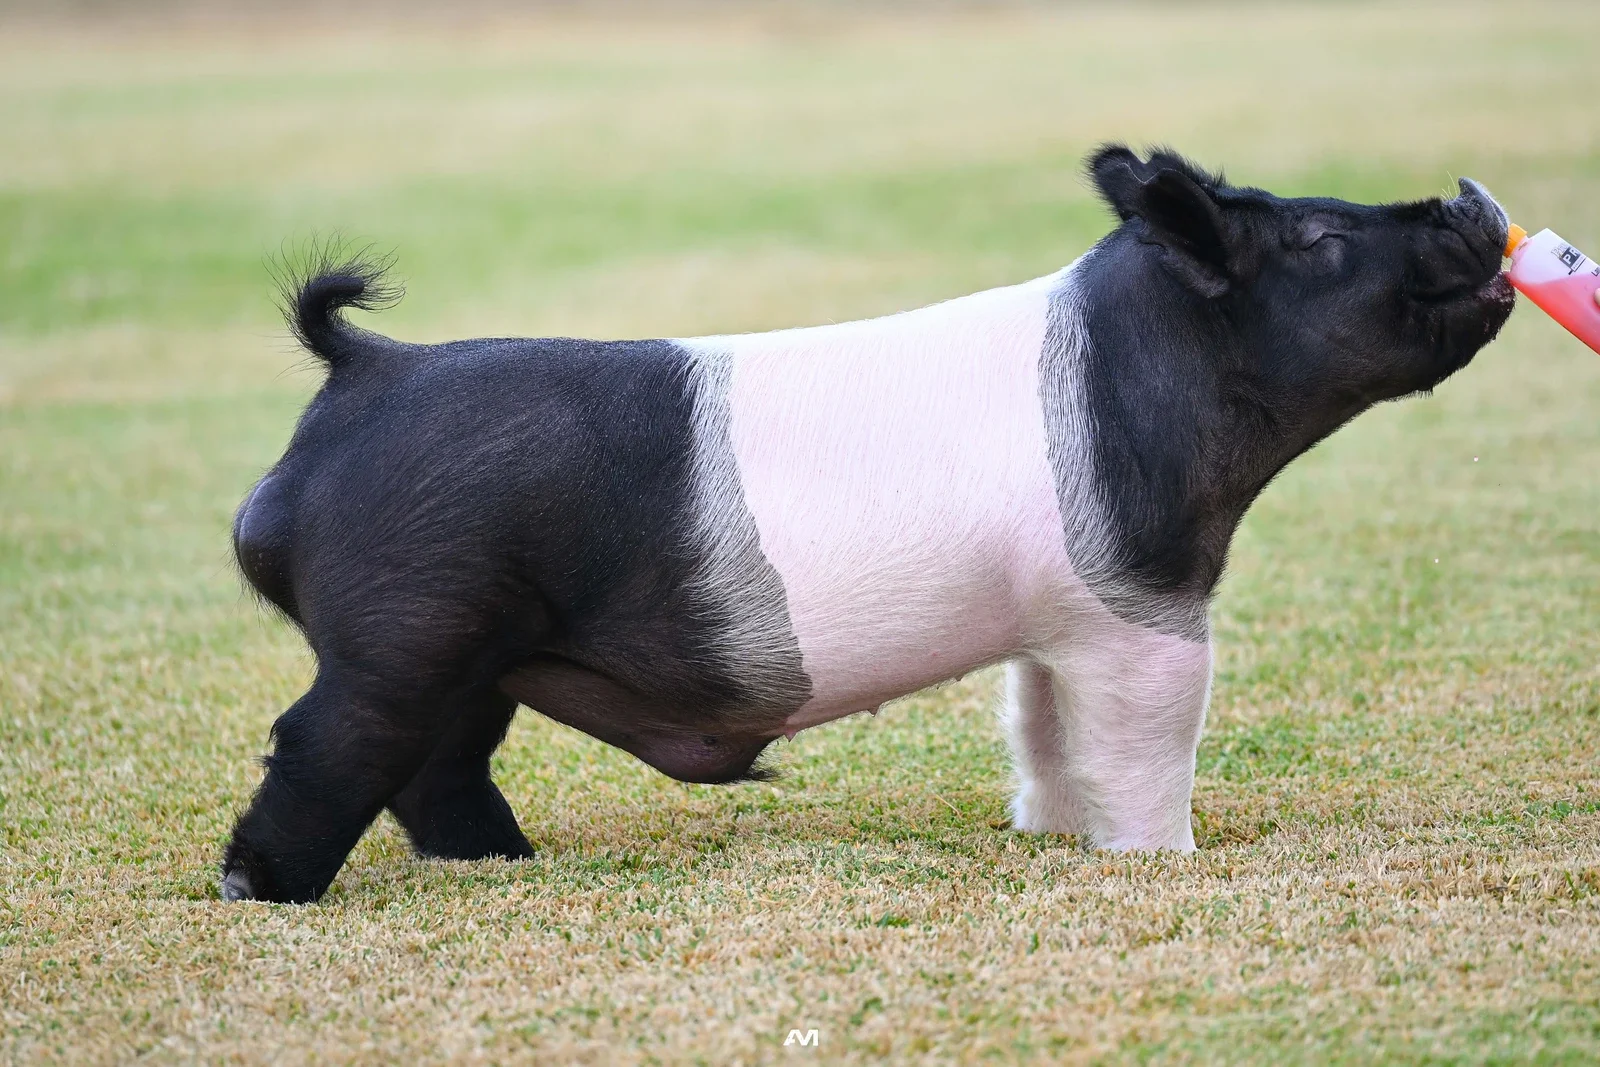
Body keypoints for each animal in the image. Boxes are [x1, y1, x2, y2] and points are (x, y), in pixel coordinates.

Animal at [221, 146, 1514, 902]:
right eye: (1317, 241)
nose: (1468, 196)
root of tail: (362, 370)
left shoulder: (1056, 622)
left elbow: (1042, 729)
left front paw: (1052, 834)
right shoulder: (1144, 605)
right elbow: (1149, 736)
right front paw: (1161, 859)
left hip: (470, 650)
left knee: (440, 763)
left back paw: (506, 859)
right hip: (409, 625)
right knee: (322, 741)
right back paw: (259, 887)